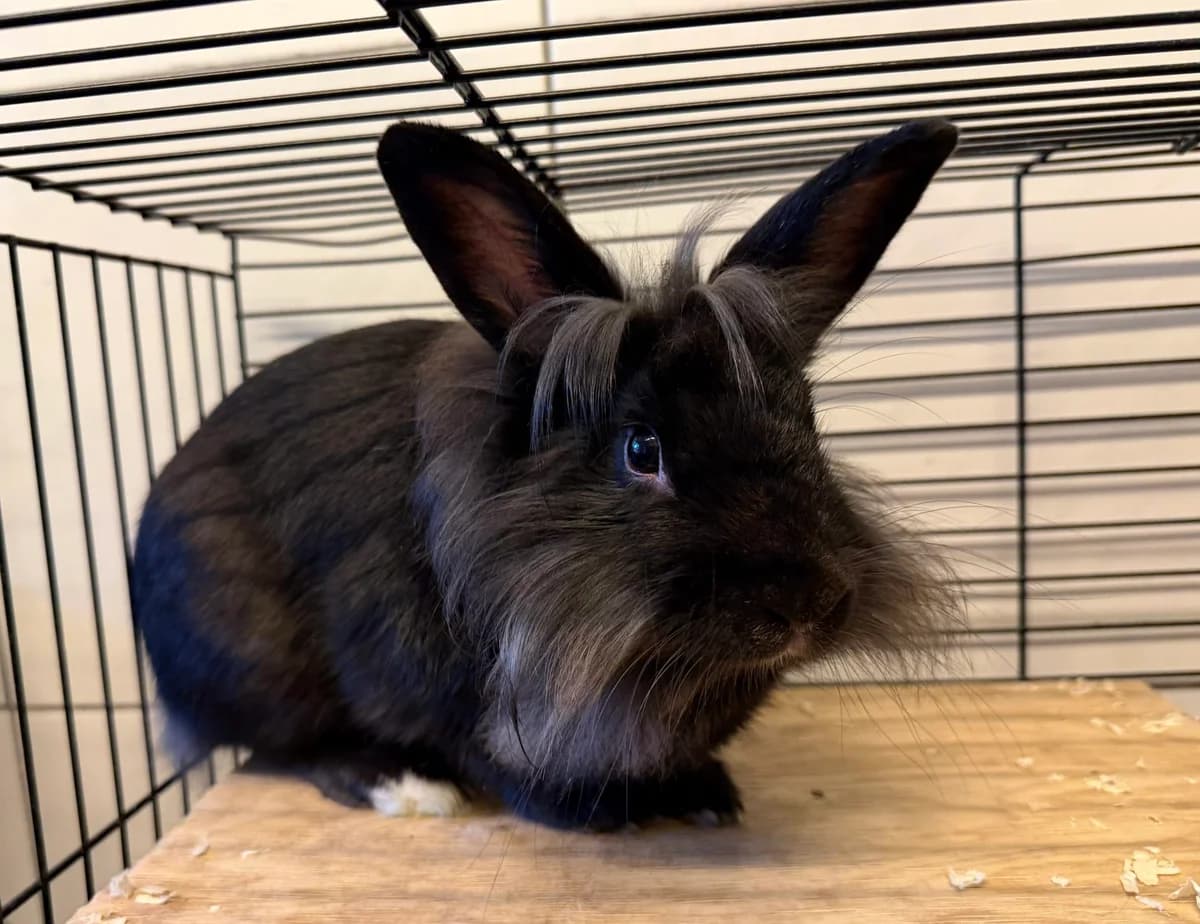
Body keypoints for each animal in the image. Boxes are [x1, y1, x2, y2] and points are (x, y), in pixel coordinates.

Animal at [132, 118, 962, 831]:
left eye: (808, 423)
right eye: (641, 450)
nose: (809, 606)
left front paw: (708, 793)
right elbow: (497, 763)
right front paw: (594, 811)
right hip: (247, 652)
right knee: (281, 745)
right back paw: (402, 783)